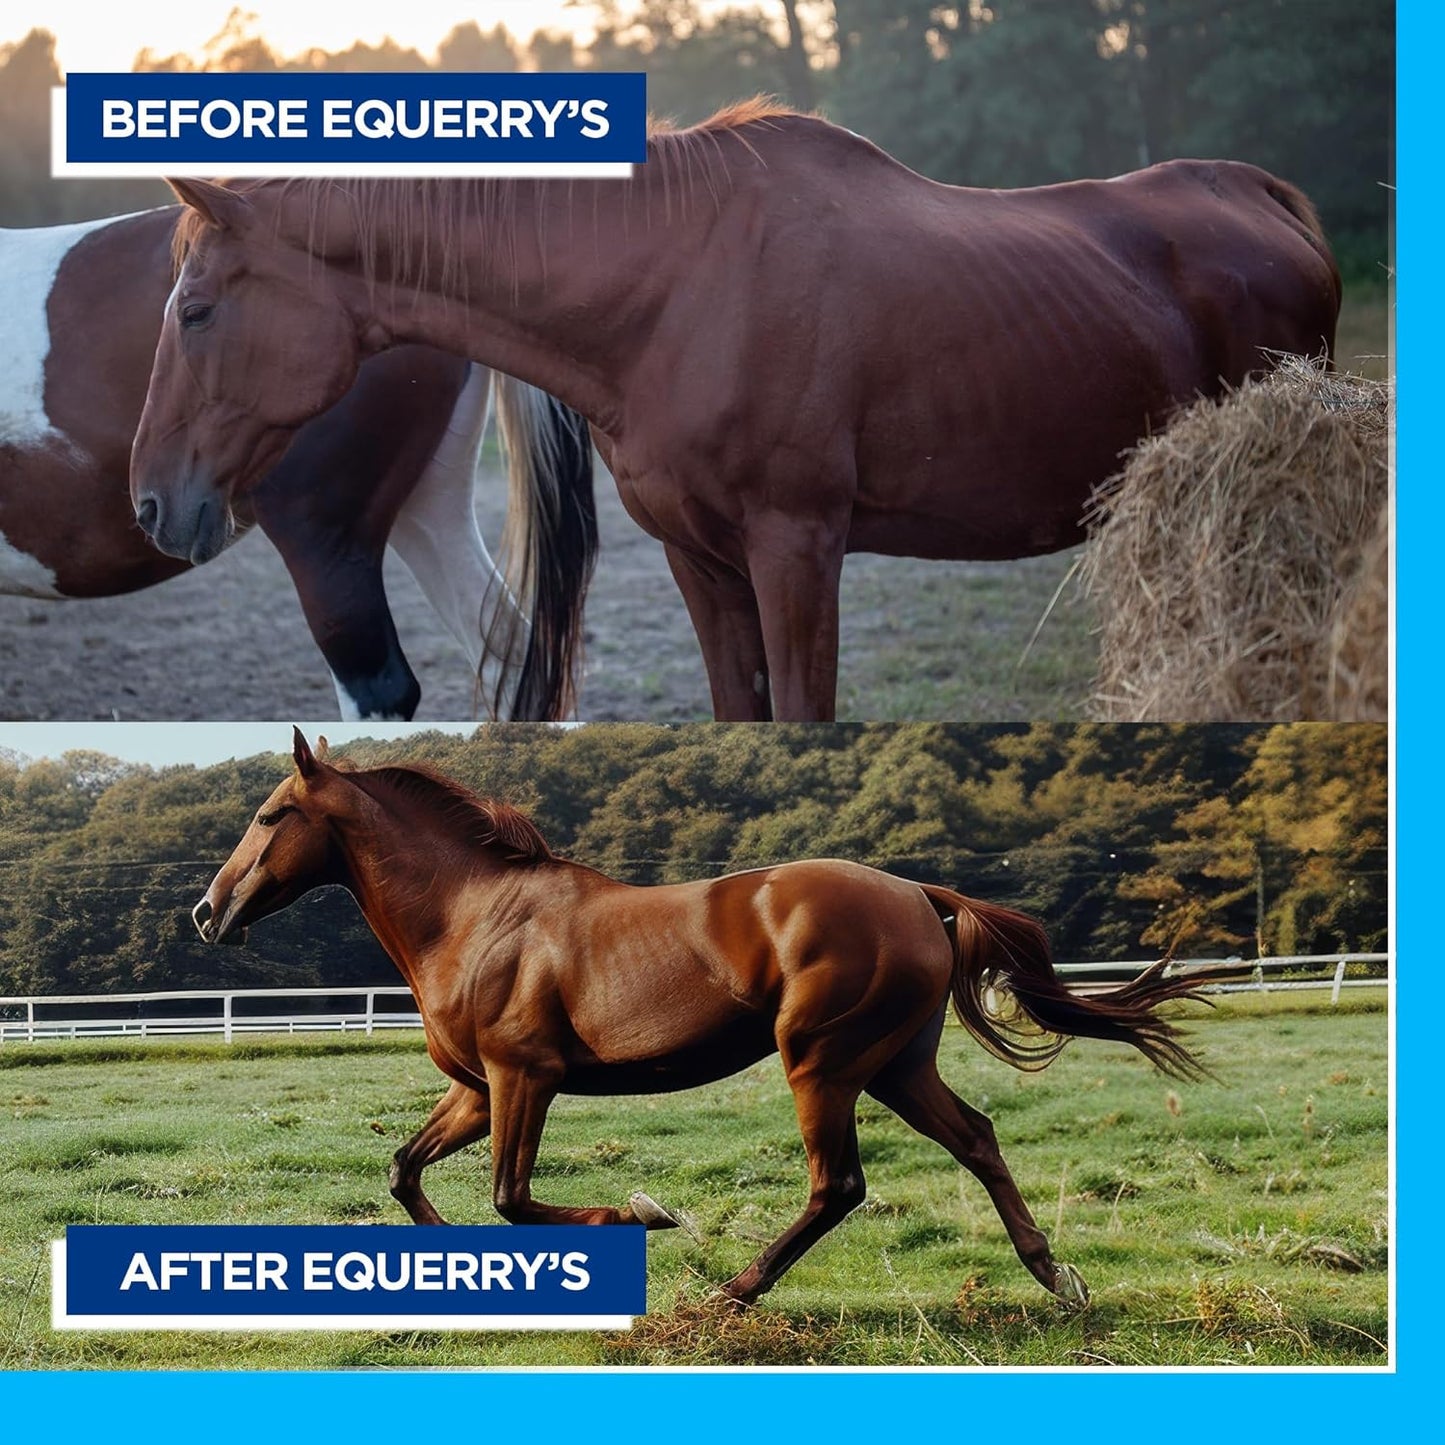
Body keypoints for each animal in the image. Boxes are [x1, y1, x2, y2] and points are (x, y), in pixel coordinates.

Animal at [2, 206, 597, 720]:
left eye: (195, 314)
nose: (149, 504)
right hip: (429, 509)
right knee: (512, 658)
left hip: (325, 545)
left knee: (380, 689)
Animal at [130, 101, 1342, 722]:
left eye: (195, 309)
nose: (149, 502)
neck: (677, 285)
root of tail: (1260, 197)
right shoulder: (700, 560)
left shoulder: (796, 548)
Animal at [191, 728, 1210, 1305]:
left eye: (270, 813)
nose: (207, 911)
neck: (475, 915)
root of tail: (919, 894)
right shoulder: (478, 1089)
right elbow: (406, 1172)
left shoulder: (526, 1077)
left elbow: (511, 1197)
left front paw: (646, 1213)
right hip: (895, 1064)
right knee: (977, 1138)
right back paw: (1054, 1275)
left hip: (821, 1062)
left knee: (838, 1185)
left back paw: (734, 1290)